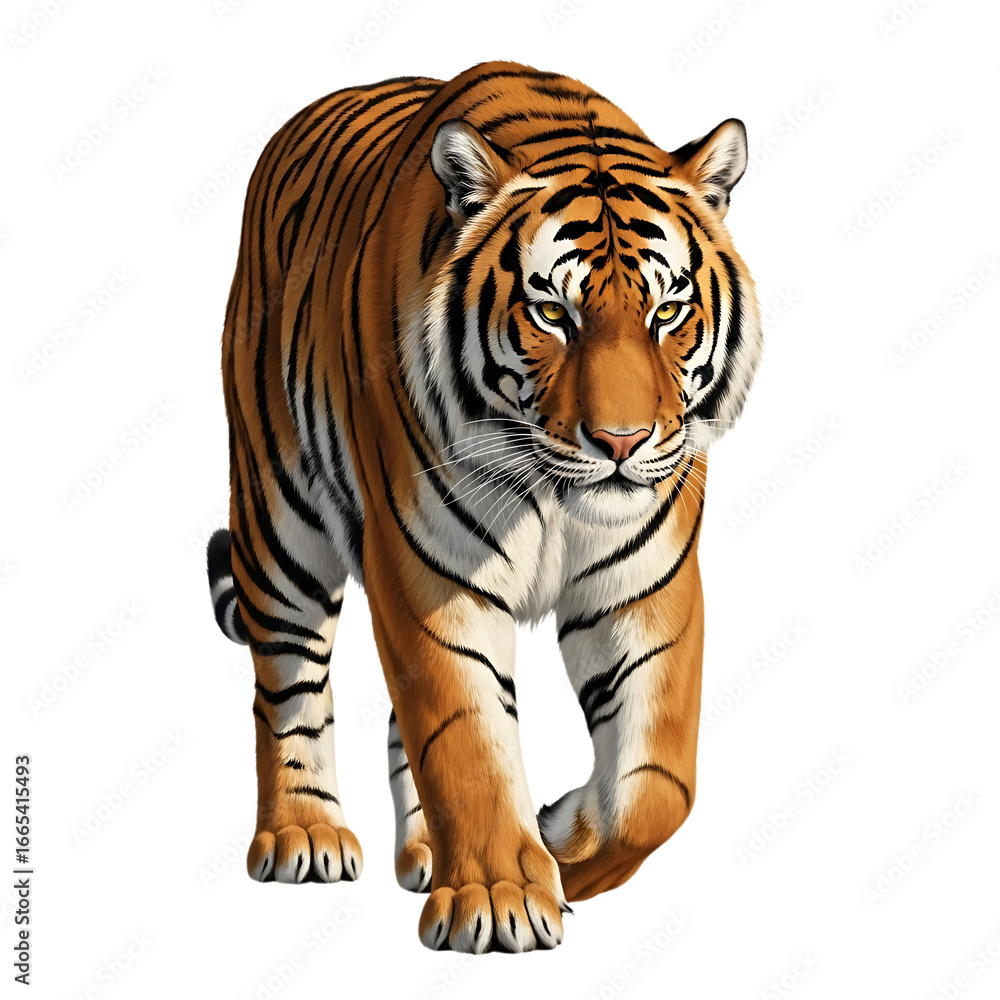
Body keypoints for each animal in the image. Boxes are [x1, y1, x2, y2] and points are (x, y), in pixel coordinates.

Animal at [206, 59, 761, 953]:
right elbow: (465, 736)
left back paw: (431, 852)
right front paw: (501, 899)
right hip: (277, 513)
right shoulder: (430, 573)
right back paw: (303, 836)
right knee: (286, 683)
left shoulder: (647, 582)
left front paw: (565, 842)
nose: (622, 441)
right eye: (552, 313)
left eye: (667, 311)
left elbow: (659, 781)